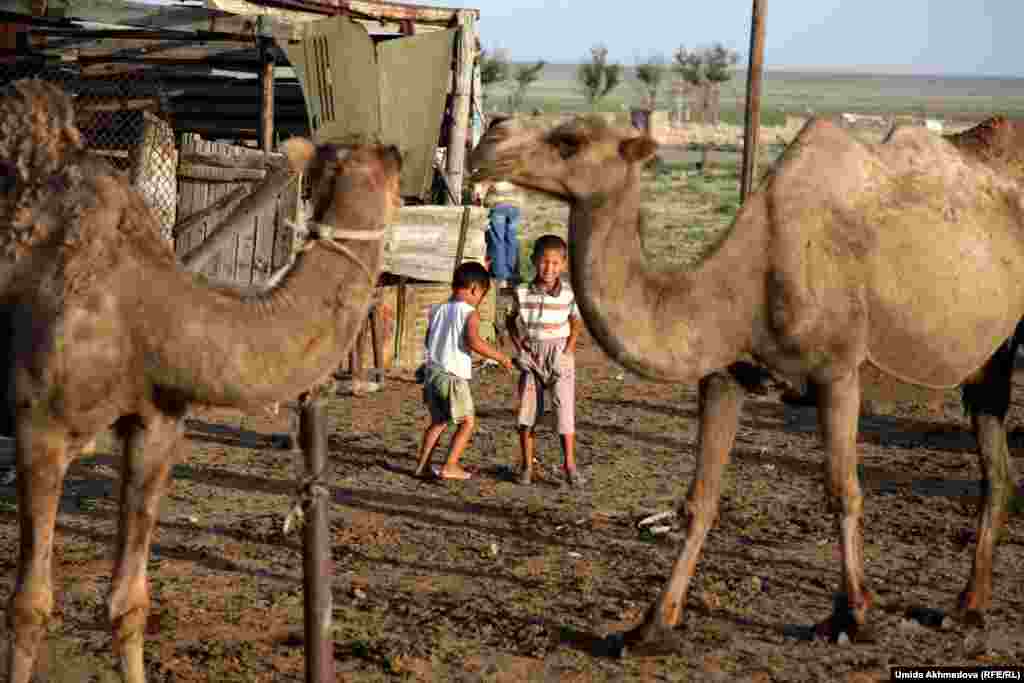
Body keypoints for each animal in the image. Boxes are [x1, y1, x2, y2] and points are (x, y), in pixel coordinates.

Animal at [0, 81, 401, 683]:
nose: (395, 149)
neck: (147, 310)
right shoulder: (38, 427)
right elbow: (29, 607)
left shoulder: (156, 426)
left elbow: (128, 602)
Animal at [468, 116, 1024, 651]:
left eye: (570, 141)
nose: (491, 135)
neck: (743, 286)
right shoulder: (725, 374)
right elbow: (700, 501)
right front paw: (651, 628)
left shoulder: (838, 371)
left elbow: (843, 491)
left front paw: (853, 616)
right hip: (989, 362)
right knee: (995, 466)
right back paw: (967, 607)